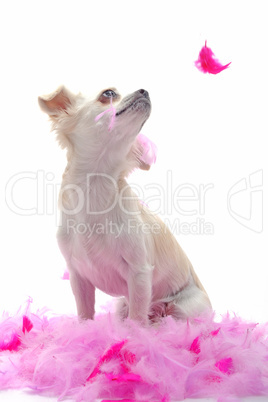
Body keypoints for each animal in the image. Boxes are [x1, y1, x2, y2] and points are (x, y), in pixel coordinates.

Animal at [39, 85, 211, 324]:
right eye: (108, 94)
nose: (145, 91)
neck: (96, 187)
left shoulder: (139, 273)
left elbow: (137, 318)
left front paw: (135, 333)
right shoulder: (78, 276)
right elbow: (84, 313)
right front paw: (85, 330)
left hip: (184, 308)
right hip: (121, 304)